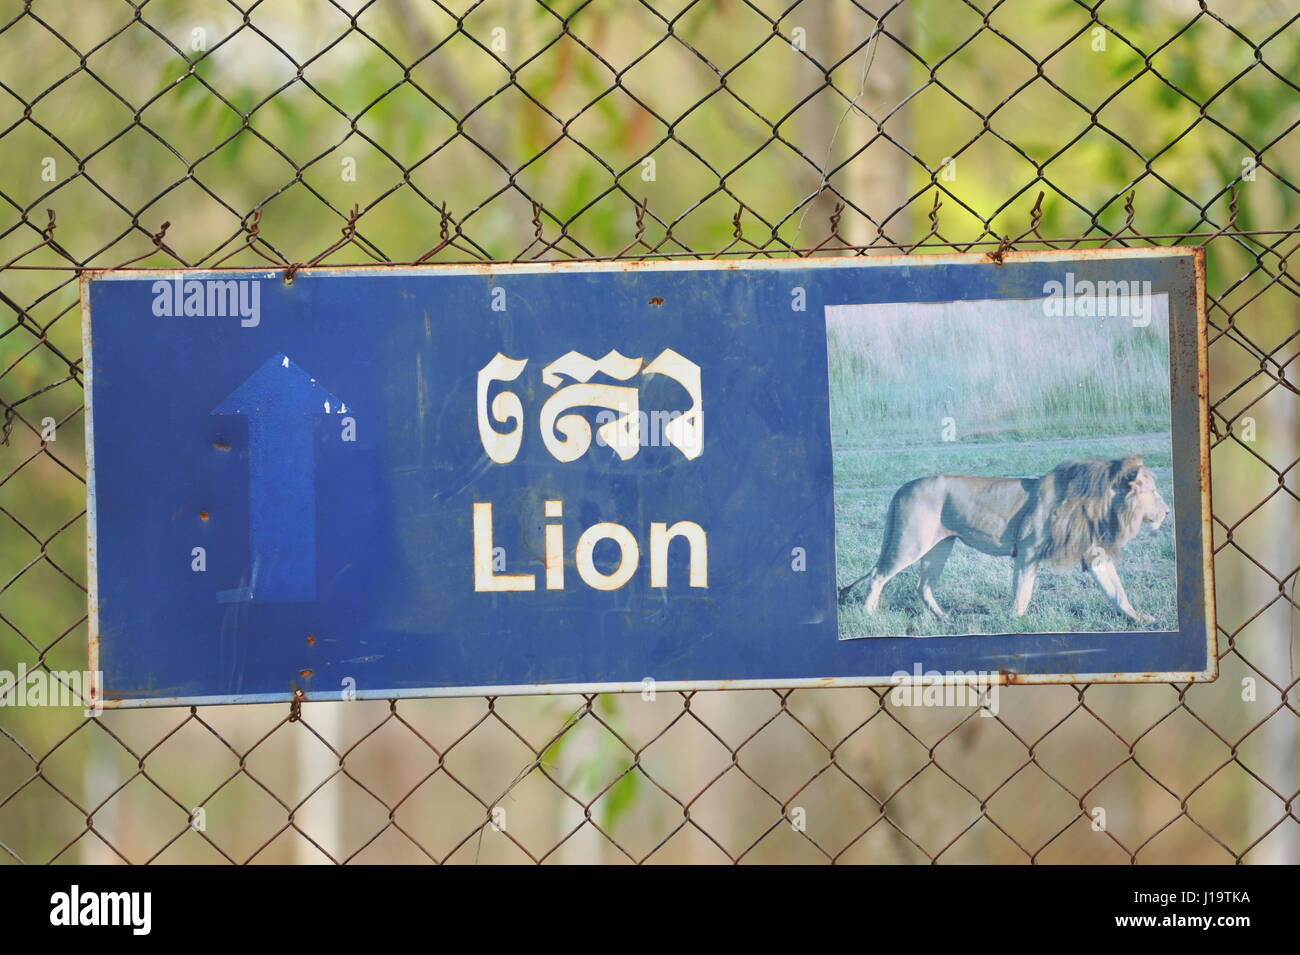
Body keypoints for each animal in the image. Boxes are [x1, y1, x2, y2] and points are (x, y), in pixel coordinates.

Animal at [838, 456, 1169, 625]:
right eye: (1153, 492)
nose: (1167, 511)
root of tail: (903, 487)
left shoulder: (1096, 554)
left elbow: (1117, 591)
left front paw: (1142, 619)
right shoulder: (1028, 550)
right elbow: (1023, 591)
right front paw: (1016, 621)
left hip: (939, 546)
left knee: (923, 586)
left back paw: (945, 617)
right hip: (911, 541)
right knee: (879, 575)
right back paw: (868, 614)